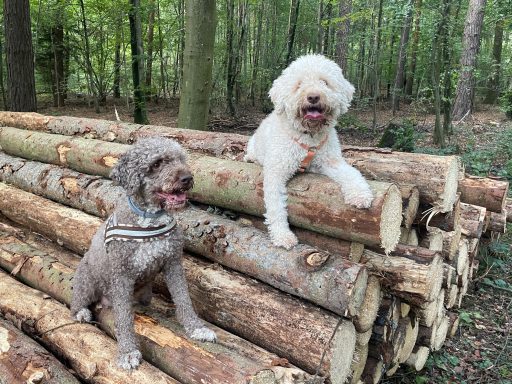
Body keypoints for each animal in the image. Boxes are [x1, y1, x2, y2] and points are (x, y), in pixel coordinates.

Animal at [244, 55, 372, 250]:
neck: (309, 136)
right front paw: (282, 235)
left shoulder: (331, 161)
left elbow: (351, 173)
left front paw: (360, 194)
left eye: (325, 82)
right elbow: (276, 206)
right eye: (298, 84)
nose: (313, 96)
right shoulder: (276, 171)